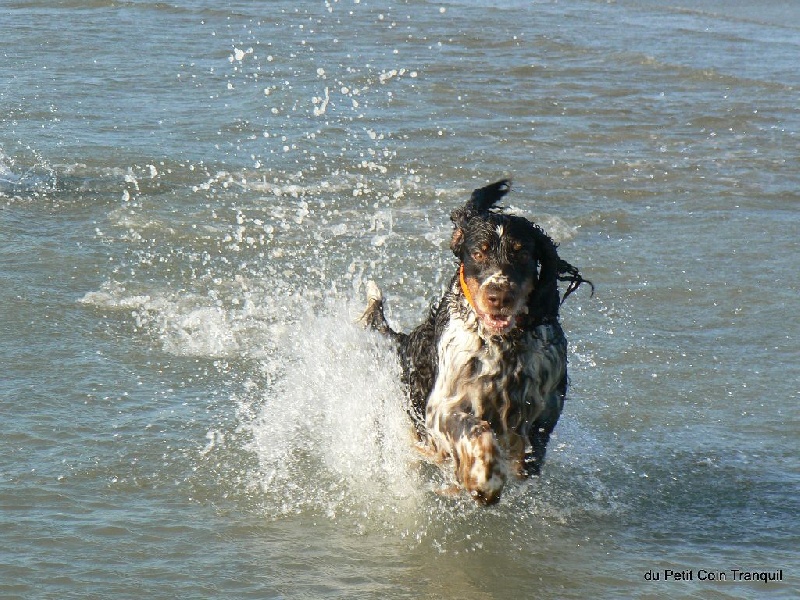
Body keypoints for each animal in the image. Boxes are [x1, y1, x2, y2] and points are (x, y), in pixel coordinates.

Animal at [360, 180, 592, 504]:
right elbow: (477, 431)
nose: (499, 296)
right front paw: (484, 480)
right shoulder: (443, 406)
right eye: (479, 254)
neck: (504, 344)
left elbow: (528, 454)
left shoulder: (546, 406)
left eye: (522, 253)